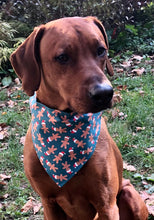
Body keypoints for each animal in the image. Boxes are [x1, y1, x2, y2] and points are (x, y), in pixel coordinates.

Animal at [9, 16, 148, 219]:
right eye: (62, 57)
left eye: (101, 50)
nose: (104, 93)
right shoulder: (48, 203)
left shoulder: (106, 205)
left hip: (129, 192)